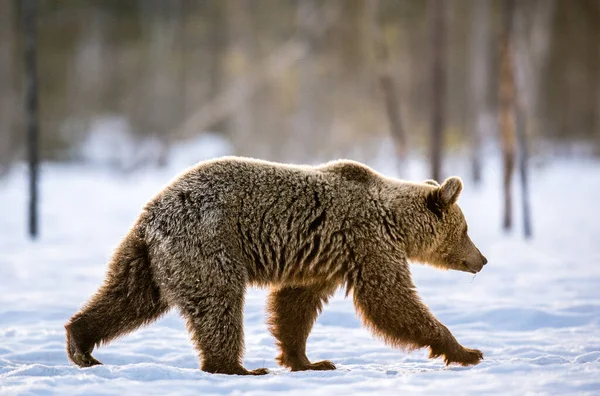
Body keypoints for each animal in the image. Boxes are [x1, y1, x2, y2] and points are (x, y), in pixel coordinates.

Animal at [64, 155, 488, 374]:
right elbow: (390, 301)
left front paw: (308, 360)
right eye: (467, 228)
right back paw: (234, 367)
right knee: (219, 304)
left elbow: (295, 307)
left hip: (151, 258)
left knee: (128, 298)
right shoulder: (366, 241)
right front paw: (465, 350)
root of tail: (151, 216)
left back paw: (81, 344)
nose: (482, 260)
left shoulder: (323, 257)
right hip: (208, 244)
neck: (395, 221)